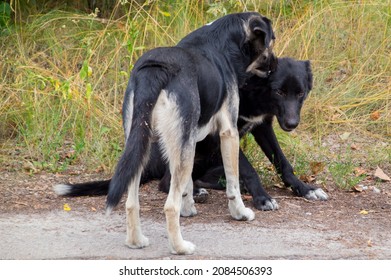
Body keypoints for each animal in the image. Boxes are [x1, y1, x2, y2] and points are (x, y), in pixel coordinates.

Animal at [55, 12, 278, 255]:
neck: (224, 39)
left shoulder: (189, 139)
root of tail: (156, 69)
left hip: (141, 142)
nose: (276, 65)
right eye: (271, 43)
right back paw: (180, 247)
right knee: (170, 206)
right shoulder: (228, 132)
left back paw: (136, 241)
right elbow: (233, 182)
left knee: (131, 202)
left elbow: (186, 185)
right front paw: (240, 213)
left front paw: (188, 208)